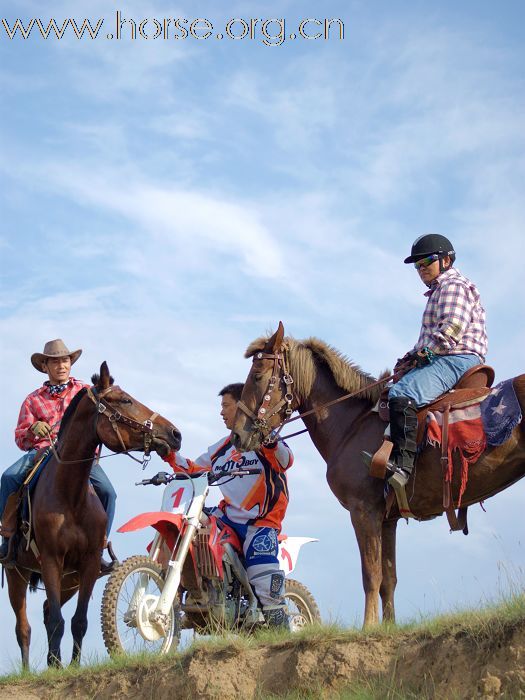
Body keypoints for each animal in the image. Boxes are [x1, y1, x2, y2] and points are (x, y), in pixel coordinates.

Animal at [4, 360, 182, 668]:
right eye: (125, 400)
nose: (175, 434)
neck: (70, 497)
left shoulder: (88, 565)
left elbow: (78, 621)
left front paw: (69, 666)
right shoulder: (50, 561)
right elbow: (58, 622)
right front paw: (58, 665)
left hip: (69, 580)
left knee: (48, 610)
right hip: (17, 572)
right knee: (24, 627)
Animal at [232, 324, 524, 628]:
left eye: (257, 376)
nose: (238, 434)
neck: (351, 425)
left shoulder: (364, 510)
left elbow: (371, 575)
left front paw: (368, 626)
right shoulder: (387, 519)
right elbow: (388, 579)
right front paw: (386, 626)